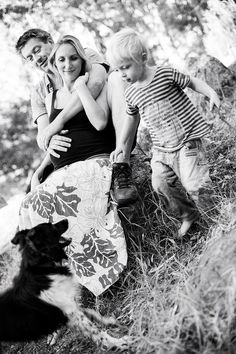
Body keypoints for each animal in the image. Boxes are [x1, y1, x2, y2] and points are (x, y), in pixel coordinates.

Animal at [0, 220, 127, 348]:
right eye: (50, 226)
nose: (66, 220)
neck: (44, 267)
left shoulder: (70, 307)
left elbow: (92, 313)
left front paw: (109, 322)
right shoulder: (69, 310)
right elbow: (96, 331)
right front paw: (118, 343)